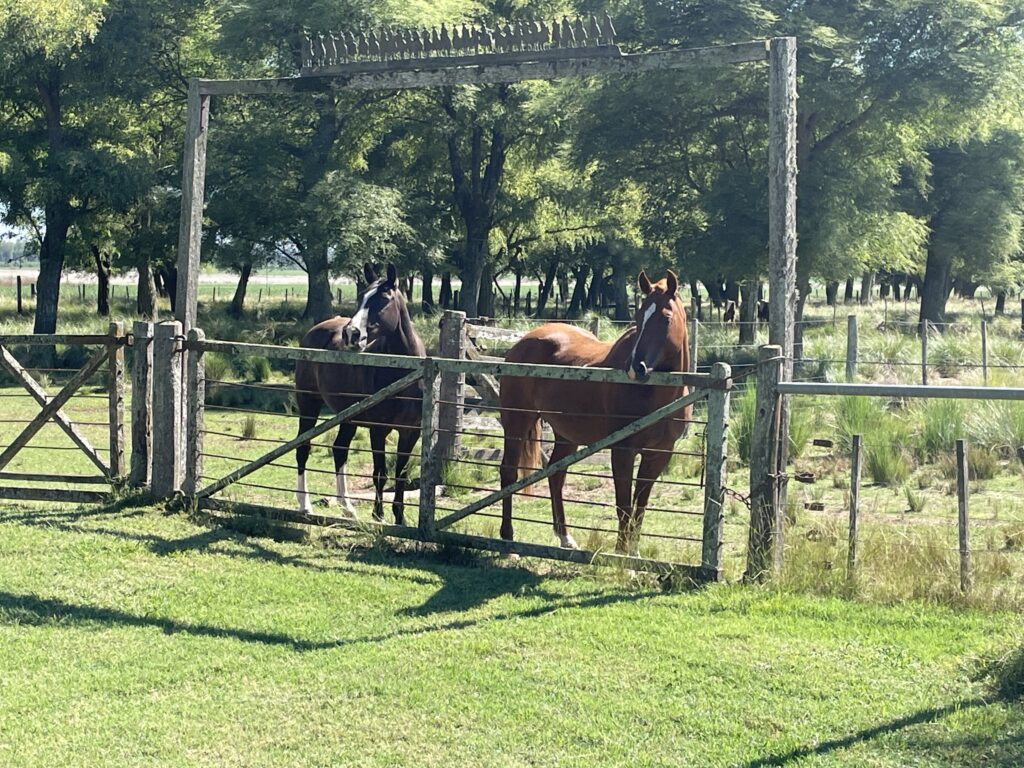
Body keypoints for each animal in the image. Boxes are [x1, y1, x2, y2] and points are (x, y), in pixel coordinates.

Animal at [294, 263, 426, 524]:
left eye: (382, 300)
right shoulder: (378, 429)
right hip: (308, 404)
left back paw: (347, 508)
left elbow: (401, 474)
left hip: (348, 417)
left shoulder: (411, 431)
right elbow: (380, 473)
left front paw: (400, 518)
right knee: (303, 449)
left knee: (339, 450)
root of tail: (314, 331)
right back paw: (305, 505)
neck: (401, 373)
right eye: (361, 297)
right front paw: (378, 516)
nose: (351, 334)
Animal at [498, 270, 691, 555]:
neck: (658, 396)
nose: (635, 367)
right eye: (638, 317)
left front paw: (634, 552)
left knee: (556, 474)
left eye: (666, 317)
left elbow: (640, 505)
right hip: (517, 422)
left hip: (566, 434)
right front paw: (622, 556)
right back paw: (508, 540)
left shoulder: (659, 454)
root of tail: (522, 342)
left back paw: (565, 537)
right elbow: (623, 504)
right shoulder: (622, 451)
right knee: (509, 472)